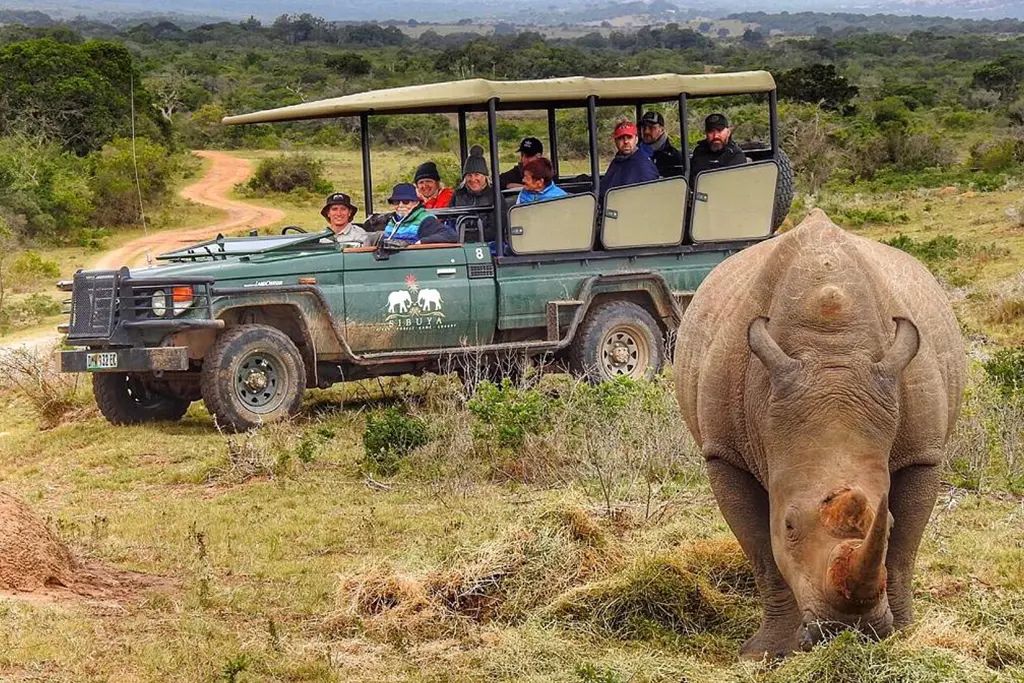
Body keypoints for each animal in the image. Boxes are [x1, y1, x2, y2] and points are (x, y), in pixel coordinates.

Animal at [674, 209, 965, 658]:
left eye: (888, 523)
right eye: (790, 525)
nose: (850, 630)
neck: (832, 355)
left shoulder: (924, 453)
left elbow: (902, 554)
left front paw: (903, 636)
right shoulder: (724, 452)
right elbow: (764, 555)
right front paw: (767, 653)